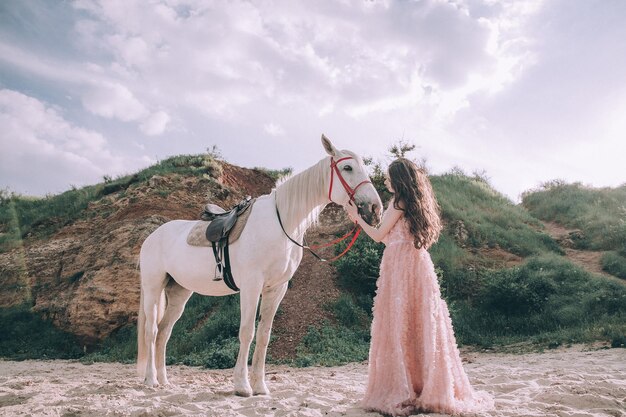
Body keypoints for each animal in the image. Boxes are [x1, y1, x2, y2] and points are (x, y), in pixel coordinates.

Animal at [137, 135, 380, 394]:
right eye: (348, 168)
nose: (375, 208)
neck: (280, 223)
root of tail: (151, 237)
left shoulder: (276, 289)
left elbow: (264, 335)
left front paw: (260, 386)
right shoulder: (251, 287)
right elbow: (247, 332)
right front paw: (242, 385)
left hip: (179, 292)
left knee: (164, 332)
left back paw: (164, 380)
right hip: (153, 288)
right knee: (152, 331)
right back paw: (151, 379)